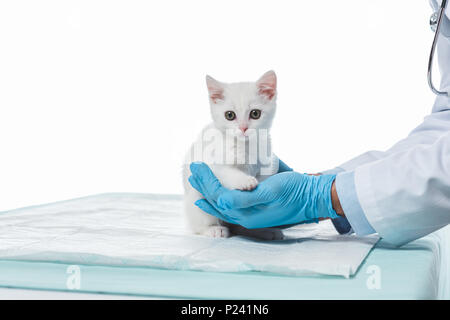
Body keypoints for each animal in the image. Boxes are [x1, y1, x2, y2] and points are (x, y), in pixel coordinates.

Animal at [182, 70, 282, 240]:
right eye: (229, 115)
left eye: (255, 113)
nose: (243, 128)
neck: (244, 145)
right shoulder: (210, 163)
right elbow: (226, 173)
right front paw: (245, 181)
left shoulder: (268, 157)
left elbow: (268, 170)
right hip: (196, 202)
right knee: (198, 223)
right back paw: (214, 229)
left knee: (244, 226)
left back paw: (265, 231)